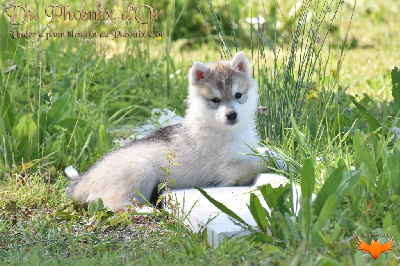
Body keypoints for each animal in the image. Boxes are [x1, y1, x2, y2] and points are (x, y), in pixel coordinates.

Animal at [65, 51, 264, 210]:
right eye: (215, 100)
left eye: (238, 95)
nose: (231, 115)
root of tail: (80, 181)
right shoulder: (231, 169)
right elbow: (257, 162)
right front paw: (272, 162)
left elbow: (261, 153)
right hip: (140, 169)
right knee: (115, 205)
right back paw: (147, 210)